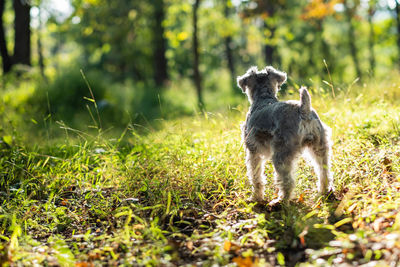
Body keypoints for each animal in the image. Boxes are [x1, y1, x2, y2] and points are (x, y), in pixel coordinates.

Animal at [238, 66, 334, 203]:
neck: (263, 98)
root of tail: (303, 111)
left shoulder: (253, 152)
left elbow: (256, 178)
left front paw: (256, 198)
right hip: (320, 147)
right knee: (324, 172)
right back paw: (323, 192)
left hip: (280, 155)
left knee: (287, 181)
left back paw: (280, 201)